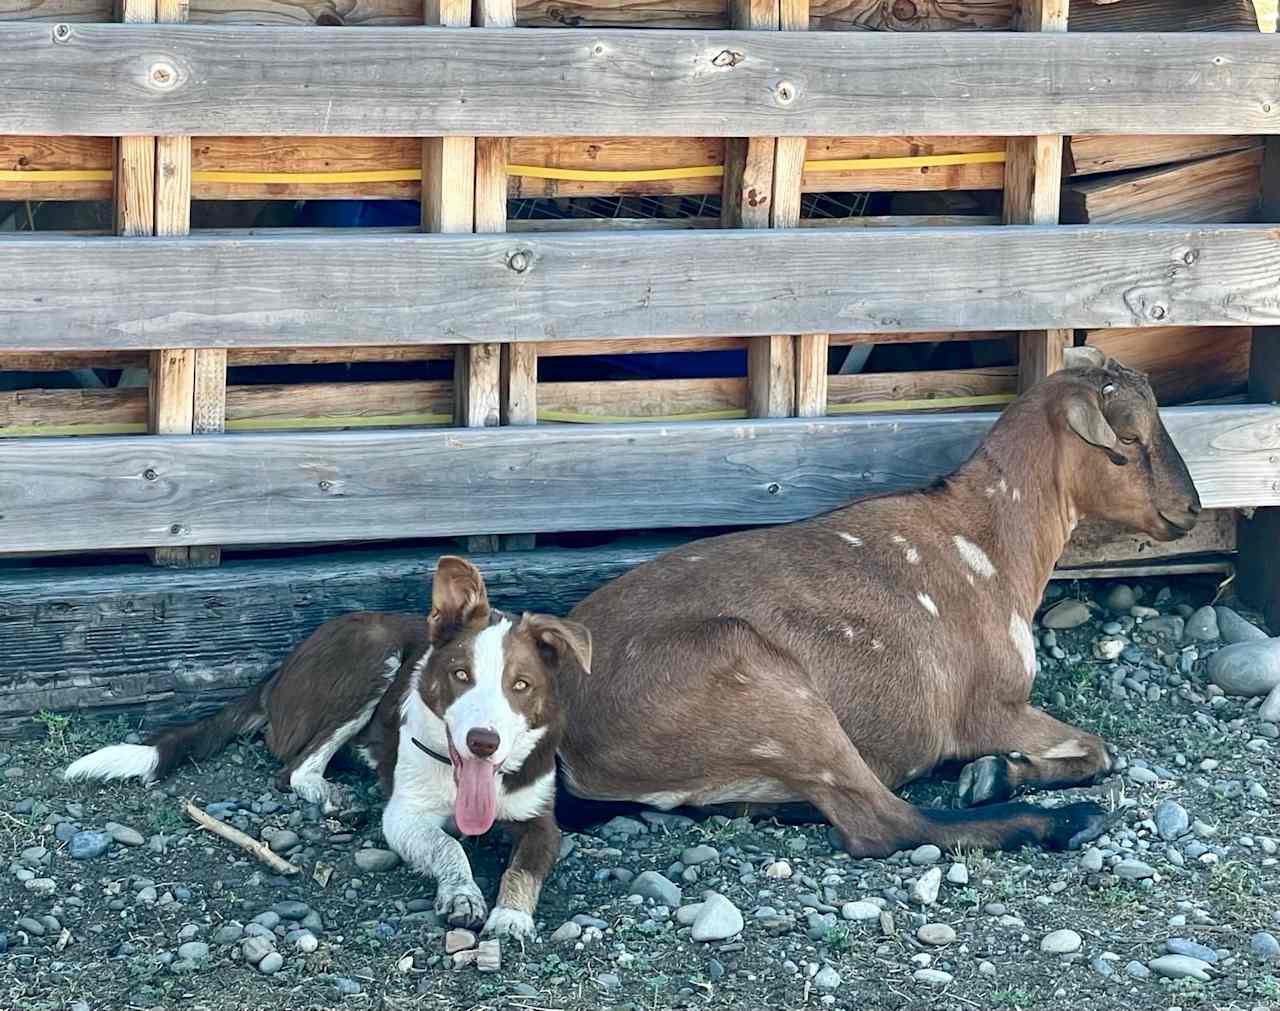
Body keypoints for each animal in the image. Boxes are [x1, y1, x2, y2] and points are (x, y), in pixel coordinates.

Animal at [63, 557, 588, 936]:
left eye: (520, 685)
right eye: (461, 675)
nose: (483, 742)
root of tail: (279, 671)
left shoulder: (542, 821)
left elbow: (523, 869)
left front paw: (512, 916)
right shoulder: (404, 815)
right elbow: (448, 846)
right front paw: (462, 893)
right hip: (373, 655)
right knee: (294, 769)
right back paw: (333, 793)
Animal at [558, 353, 1198, 859]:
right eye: (1128, 441)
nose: (1190, 508)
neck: (991, 543)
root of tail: (570, 739)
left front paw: (997, 771)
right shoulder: (988, 705)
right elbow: (1099, 749)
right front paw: (991, 774)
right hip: (764, 686)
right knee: (882, 823)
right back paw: (1070, 822)